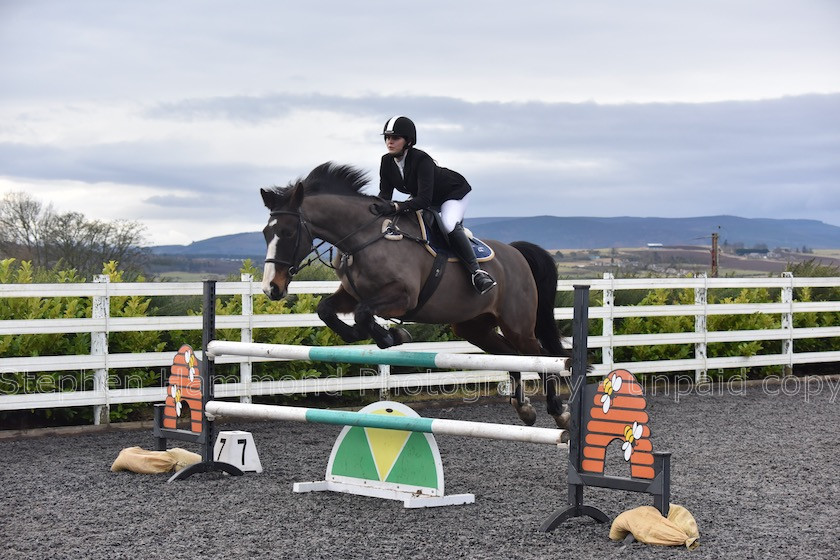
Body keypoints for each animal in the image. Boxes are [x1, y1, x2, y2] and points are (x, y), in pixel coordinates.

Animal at [256, 162, 572, 428]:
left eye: (287, 232)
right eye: (265, 234)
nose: (272, 288)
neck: (362, 238)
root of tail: (516, 253)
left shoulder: (403, 297)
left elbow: (363, 314)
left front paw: (392, 336)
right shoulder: (351, 293)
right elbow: (327, 310)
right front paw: (372, 335)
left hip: (517, 324)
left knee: (540, 358)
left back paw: (560, 413)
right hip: (474, 327)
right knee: (511, 357)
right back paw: (524, 409)